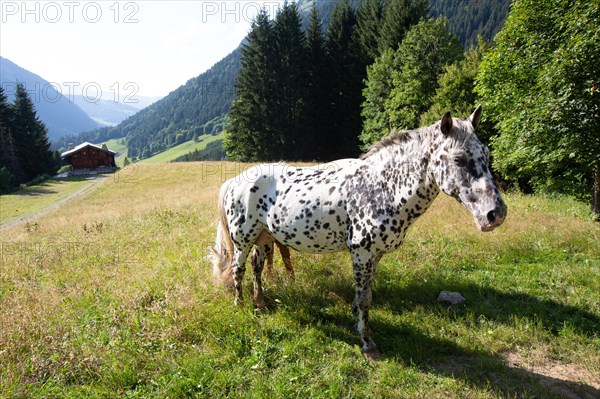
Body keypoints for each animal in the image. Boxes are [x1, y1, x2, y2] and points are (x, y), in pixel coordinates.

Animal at [211, 108, 506, 360]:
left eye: (487, 153)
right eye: (458, 159)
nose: (496, 214)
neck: (382, 188)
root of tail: (235, 181)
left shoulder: (375, 256)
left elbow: (365, 297)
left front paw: (359, 326)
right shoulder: (362, 253)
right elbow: (364, 299)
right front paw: (367, 344)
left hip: (264, 240)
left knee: (257, 268)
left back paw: (260, 303)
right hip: (243, 241)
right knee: (238, 269)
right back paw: (240, 304)